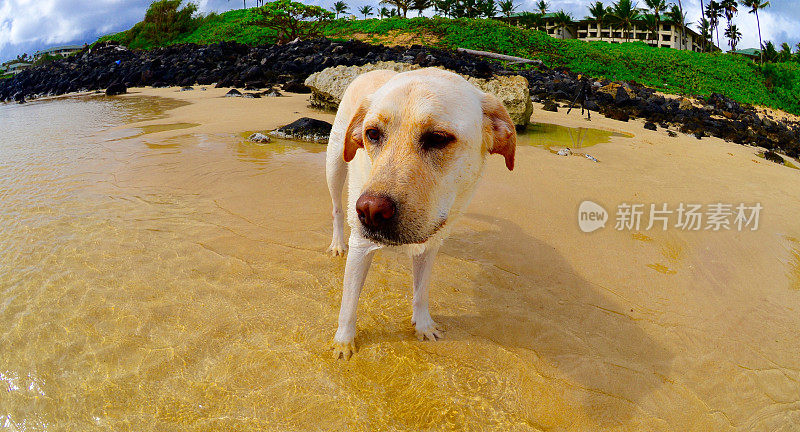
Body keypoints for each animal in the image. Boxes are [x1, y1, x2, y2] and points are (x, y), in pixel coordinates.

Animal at [326, 67, 520, 360]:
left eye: (437, 138)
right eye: (372, 133)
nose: (370, 211)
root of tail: (374, 69)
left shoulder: (430, 244)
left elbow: (421, 291)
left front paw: (423, 325)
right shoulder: (360, 243)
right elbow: (349, 301)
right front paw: (344, 342)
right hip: (335, 164)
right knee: (338, 208)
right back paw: (338, 243)